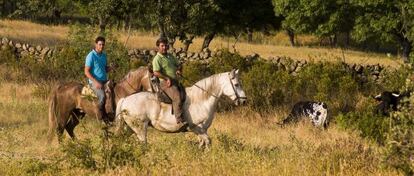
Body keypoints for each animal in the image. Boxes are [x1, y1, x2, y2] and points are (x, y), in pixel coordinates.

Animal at [114, 69, 246, 148]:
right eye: (236, 84)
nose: (244, 100)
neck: (202, 100)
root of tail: (125, 99)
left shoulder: (201, 130)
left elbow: (202, 143)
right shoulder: (197, 128)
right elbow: (208, 142)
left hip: (129, 127)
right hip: (140, 128)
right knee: (143, 143)